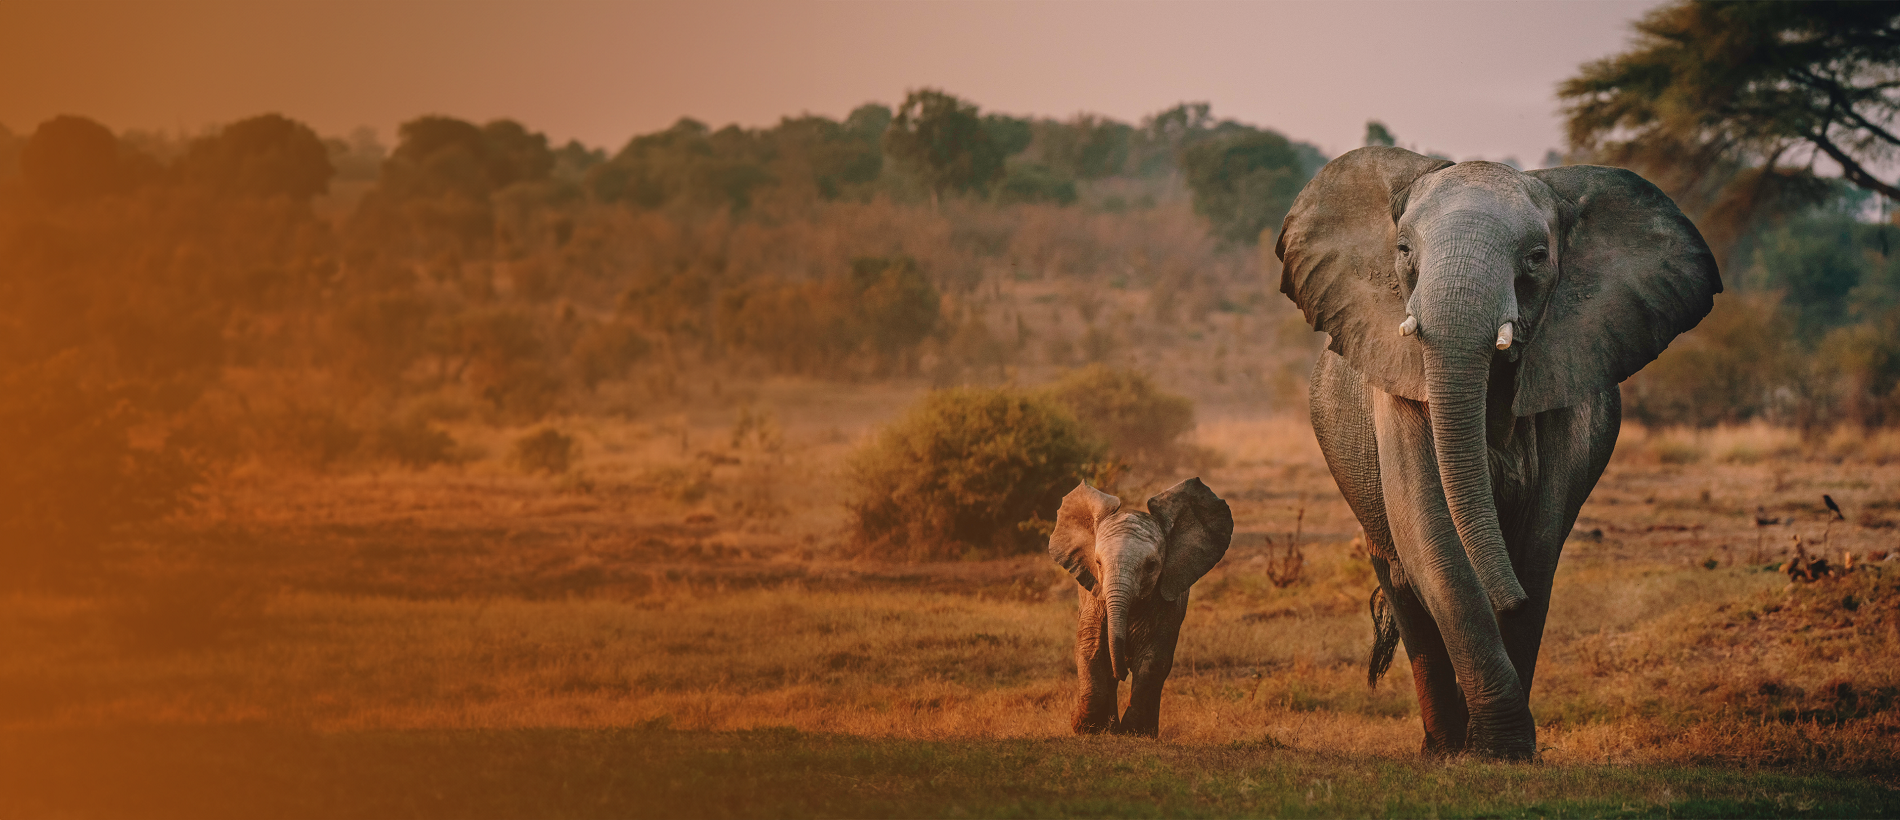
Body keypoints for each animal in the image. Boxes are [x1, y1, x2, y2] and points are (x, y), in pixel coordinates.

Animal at [1056, 474, 1231, 736]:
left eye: (1150, 566)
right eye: (1098, 563)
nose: (1123, 671)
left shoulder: (1166, 601)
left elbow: (1154, 657)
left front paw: (1136, 731)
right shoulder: (1095, 598)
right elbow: (1091, 648)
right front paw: (1084, 726)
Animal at [1276, 146, 1725, 755]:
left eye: (1536, 258)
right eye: (1403, 251)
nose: (1506, 595)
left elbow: (1536, 543)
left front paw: (1504, 752)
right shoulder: (1397, 389)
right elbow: (1430, 536)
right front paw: (1494, 746)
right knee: (1402, 579)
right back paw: (1441, 749)